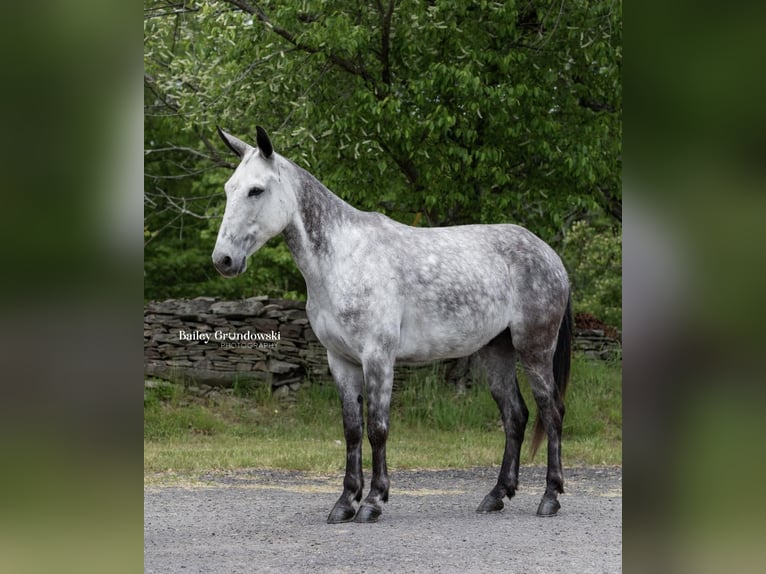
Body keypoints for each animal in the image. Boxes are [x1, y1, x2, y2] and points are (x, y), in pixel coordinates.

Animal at [213, 127, 572, 528]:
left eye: (256, 190)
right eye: (229, 188)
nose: (223, 260)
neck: (342, 258)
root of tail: (549, 255)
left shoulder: (378, 357)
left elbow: (377, 428)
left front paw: (372, 501)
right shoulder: (340, 361)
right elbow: (352, 430)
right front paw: (345, 503)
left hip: (535, 349)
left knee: (551, 412)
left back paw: (550, 497)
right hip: (497, 352)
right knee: (515, 416)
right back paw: (496, 495)